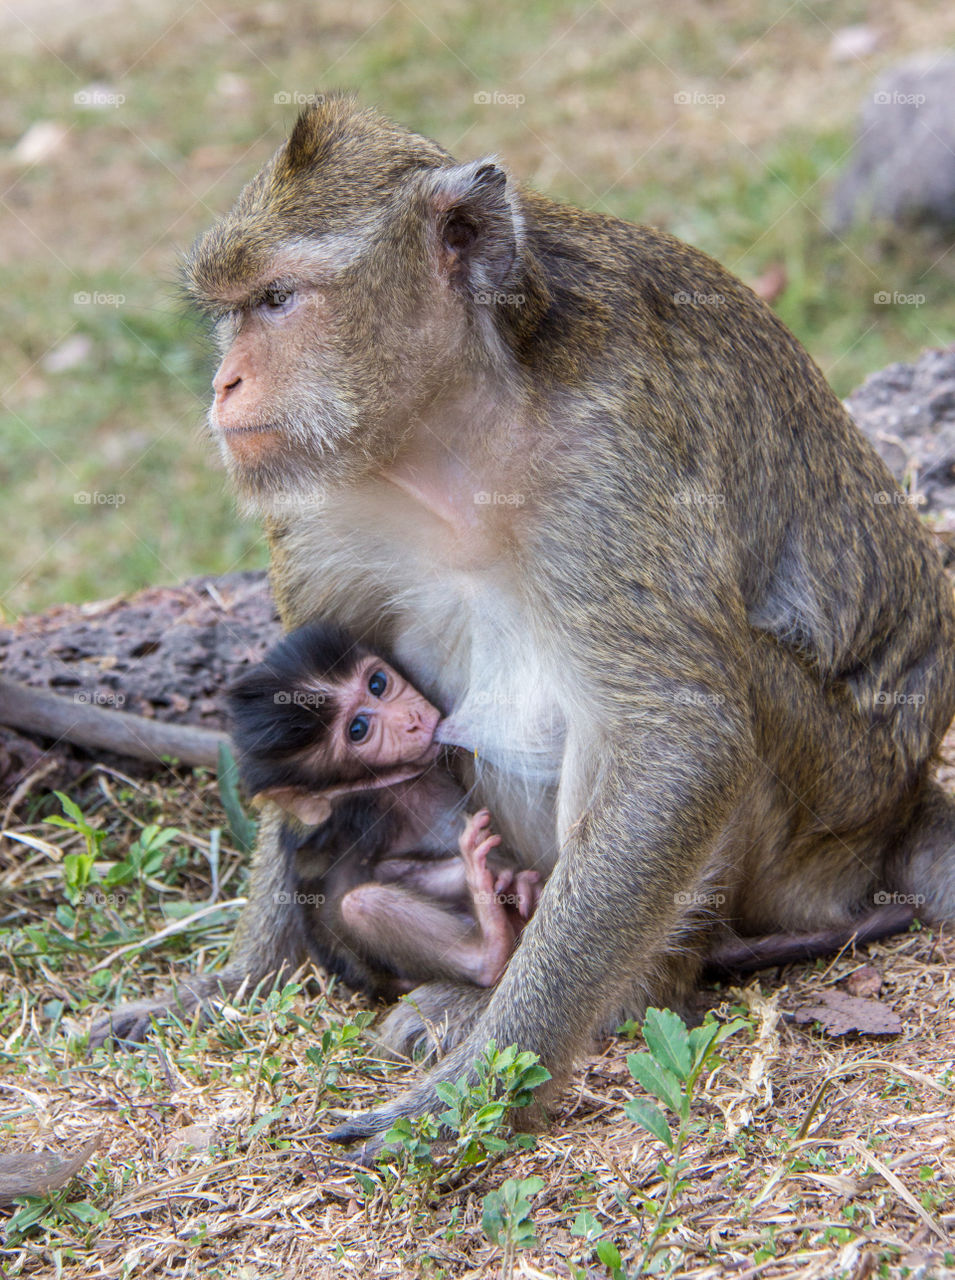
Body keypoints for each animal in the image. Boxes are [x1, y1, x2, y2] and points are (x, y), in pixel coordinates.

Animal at [221, 624, 535, 1003]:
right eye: (358, 730)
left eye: (377, 684)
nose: (412, 720)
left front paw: (508, 876)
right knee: (359, 905)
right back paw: (491, 945)